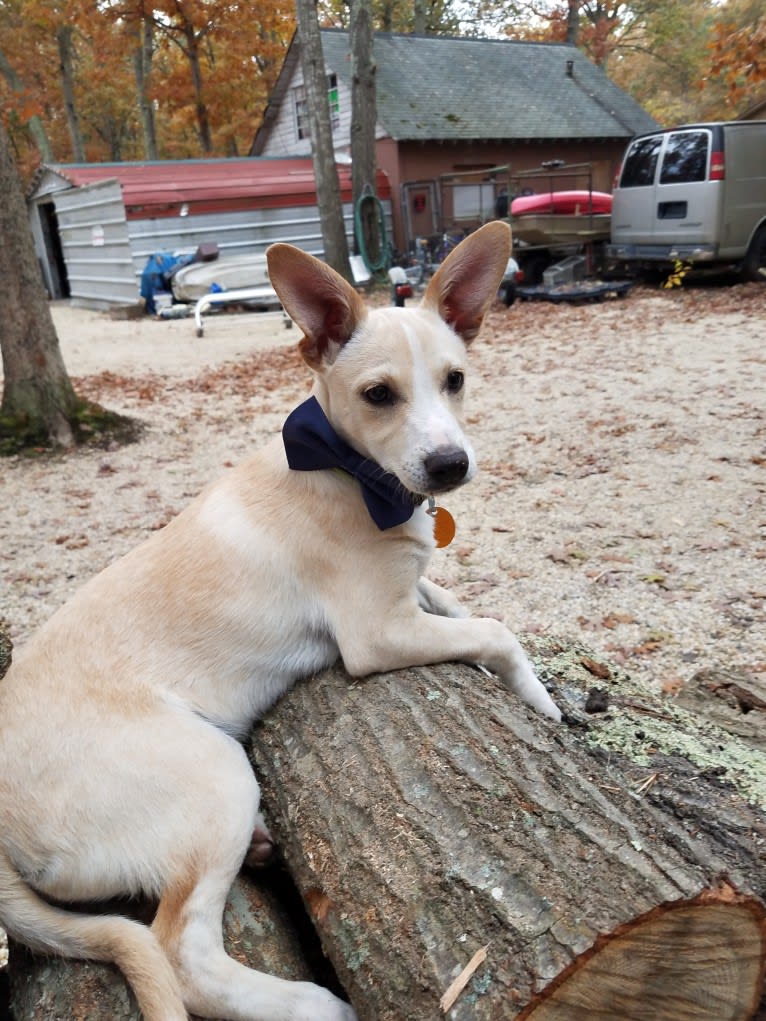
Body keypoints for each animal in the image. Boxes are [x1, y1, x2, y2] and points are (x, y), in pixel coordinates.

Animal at [1, 221, 563, 1021]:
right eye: (379, 395)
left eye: (455, 380)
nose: (450, 466)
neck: (349, 472)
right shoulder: (376, 634)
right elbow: (496, 630)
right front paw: (543, 703)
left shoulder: (406, 591)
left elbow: (455, 596)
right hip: (216, 778)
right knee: (184, 956)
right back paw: (315, 1005)